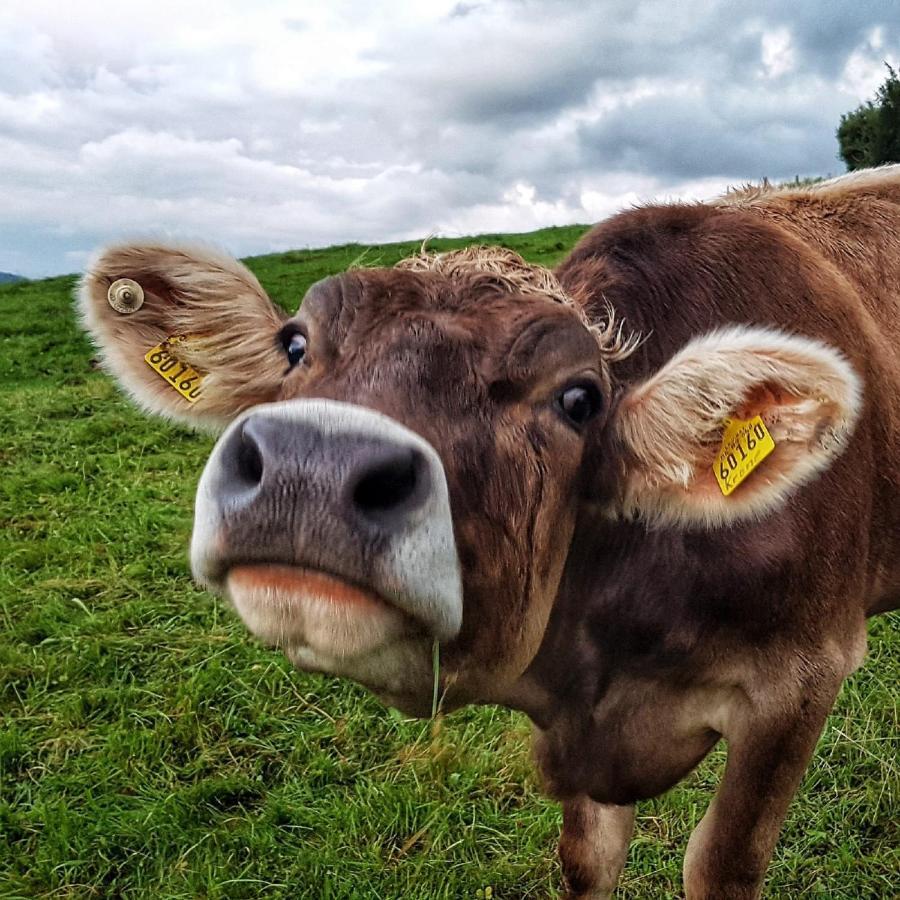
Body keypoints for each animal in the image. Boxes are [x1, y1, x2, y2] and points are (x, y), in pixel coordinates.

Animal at [79, 167, 900, 892]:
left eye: (579, 399)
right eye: (294, 344)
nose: (311, 466)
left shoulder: (801, 681)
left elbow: (721, 864)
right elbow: (587, 856)